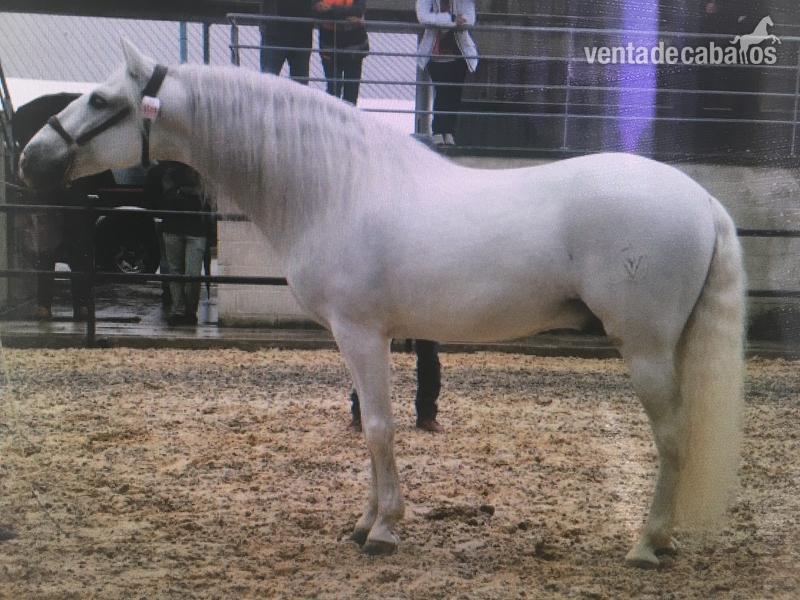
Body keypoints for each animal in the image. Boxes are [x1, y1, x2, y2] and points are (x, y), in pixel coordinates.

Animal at [18, 41, 746, 568]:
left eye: (102, 99)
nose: (31, 158)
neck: (337, 188)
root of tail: (700, 198)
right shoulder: (367, 337)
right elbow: (372, 428)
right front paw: (365, 521)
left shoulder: (360, 333)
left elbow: (377, 428)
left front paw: (384, 532)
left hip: (645, 349)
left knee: (673, 436)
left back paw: (647, 546)